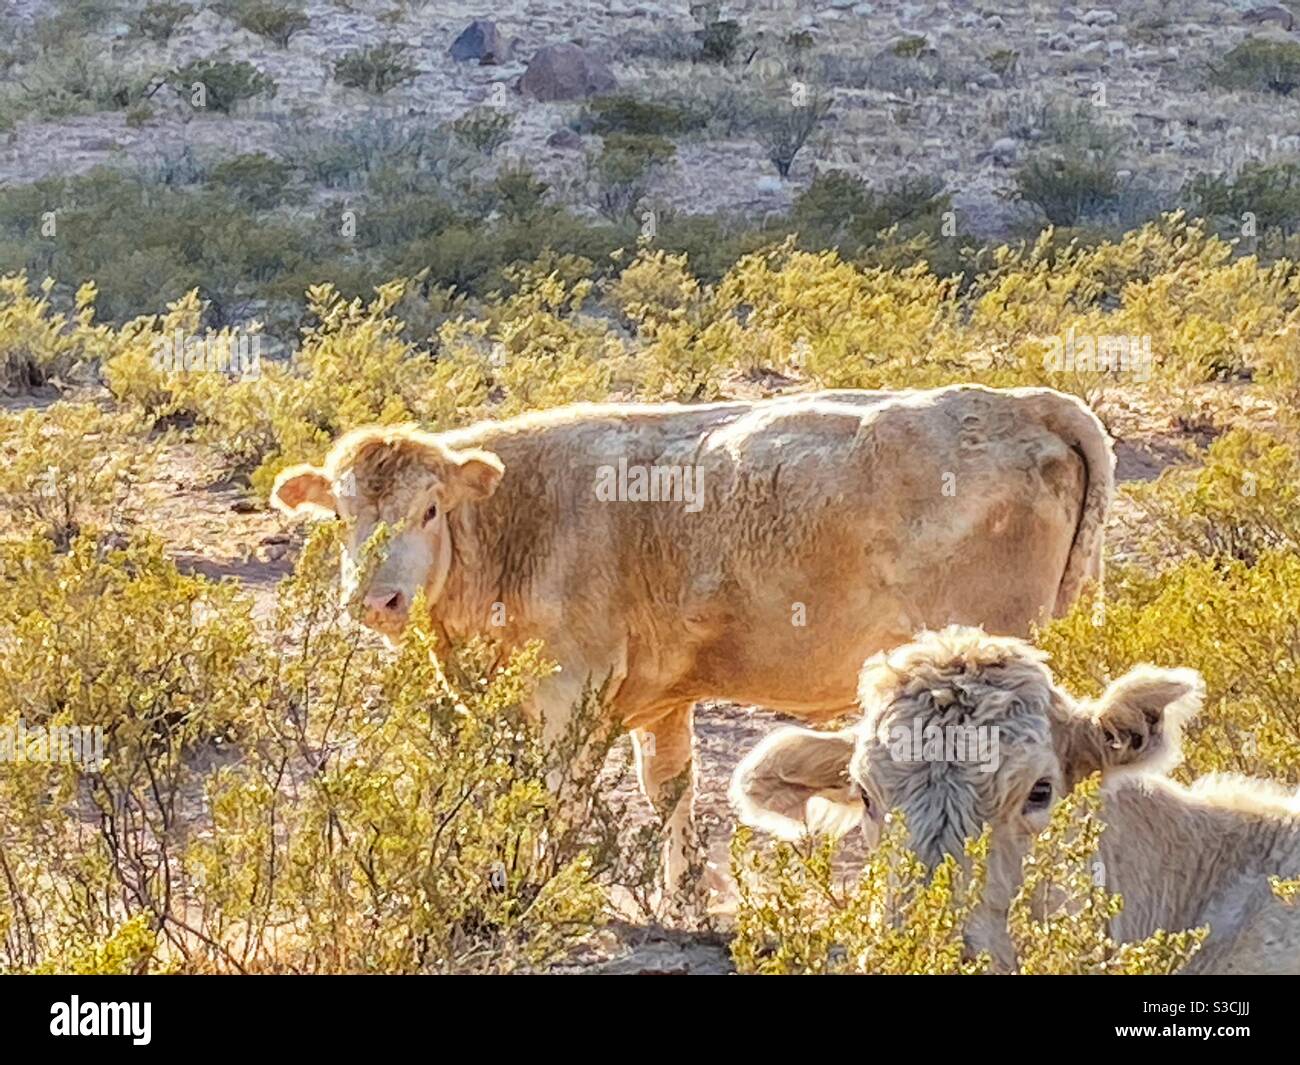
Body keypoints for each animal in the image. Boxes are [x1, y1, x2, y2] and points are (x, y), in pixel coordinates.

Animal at [269, 387, 1112, 894]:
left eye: (430, 510)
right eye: (342, 515)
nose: (376, 599)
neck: (520, 515)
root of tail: (1024, 403)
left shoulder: (568, 689)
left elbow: (559, 795)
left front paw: (541, 883)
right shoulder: (661, 699)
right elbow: (669, 788)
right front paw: (682, 895)